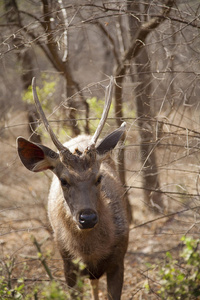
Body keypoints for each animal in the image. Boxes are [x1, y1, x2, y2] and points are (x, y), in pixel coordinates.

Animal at [17, 78, 130, 300]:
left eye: (99, 177)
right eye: (64, 180)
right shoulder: (68, 264)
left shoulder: (119, 259)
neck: (91, 253)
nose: (87, 218)